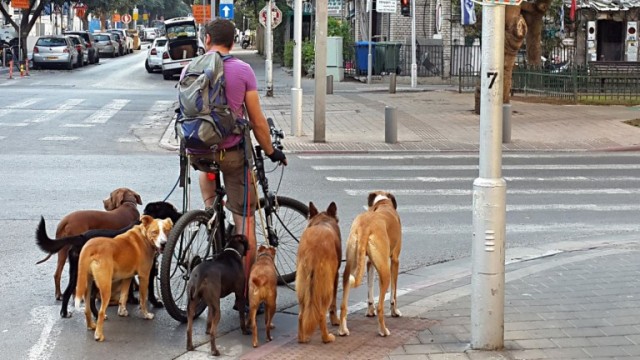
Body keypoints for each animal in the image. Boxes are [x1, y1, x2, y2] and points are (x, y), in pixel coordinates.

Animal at [35, 200, 182, 318]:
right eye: (171, 210)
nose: (181, 214)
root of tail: (81, 237)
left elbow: (131, 289)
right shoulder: (147, 271)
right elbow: (146, 290)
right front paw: (151, 303)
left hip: (76, 271)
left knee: (68, 292)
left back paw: (66, 312)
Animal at [296, 201, 342, 344]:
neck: (322, 221)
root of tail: (313, 251)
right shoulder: (335, 276)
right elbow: (333, 305)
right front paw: (335, 321)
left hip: (302, 286)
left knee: (301, 315)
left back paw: (302, 338)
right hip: (326, 286)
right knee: (322, 313)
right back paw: (327, 338)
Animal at [338, 191, 402, 338]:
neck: (382, 203)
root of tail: (366, 226)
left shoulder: (369, 263)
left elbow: (370, 289)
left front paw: (369, 311)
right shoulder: (395, 260)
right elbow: (394, 294)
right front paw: (395, 311)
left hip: (350, 267)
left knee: (343, 304)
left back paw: (343, 329)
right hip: (385, 272)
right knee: (380, 307)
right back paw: (383, 330)